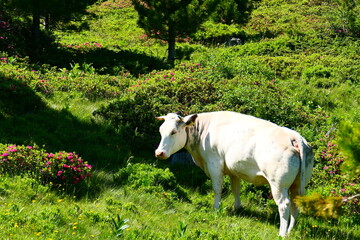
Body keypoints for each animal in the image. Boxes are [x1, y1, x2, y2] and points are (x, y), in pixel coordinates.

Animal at [155, 111, 312, 236]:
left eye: (173, 132)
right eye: (161, 131)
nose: (159, 153)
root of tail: (293, 135)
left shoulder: (214, 165)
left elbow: (217, 189)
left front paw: (216, 209)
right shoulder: (233, 170)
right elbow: (235, 189)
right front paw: (238, 209)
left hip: (278, 184)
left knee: (284, 205)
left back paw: (282, 234)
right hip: (297, 184)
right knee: (295, 204)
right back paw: (290, 230)